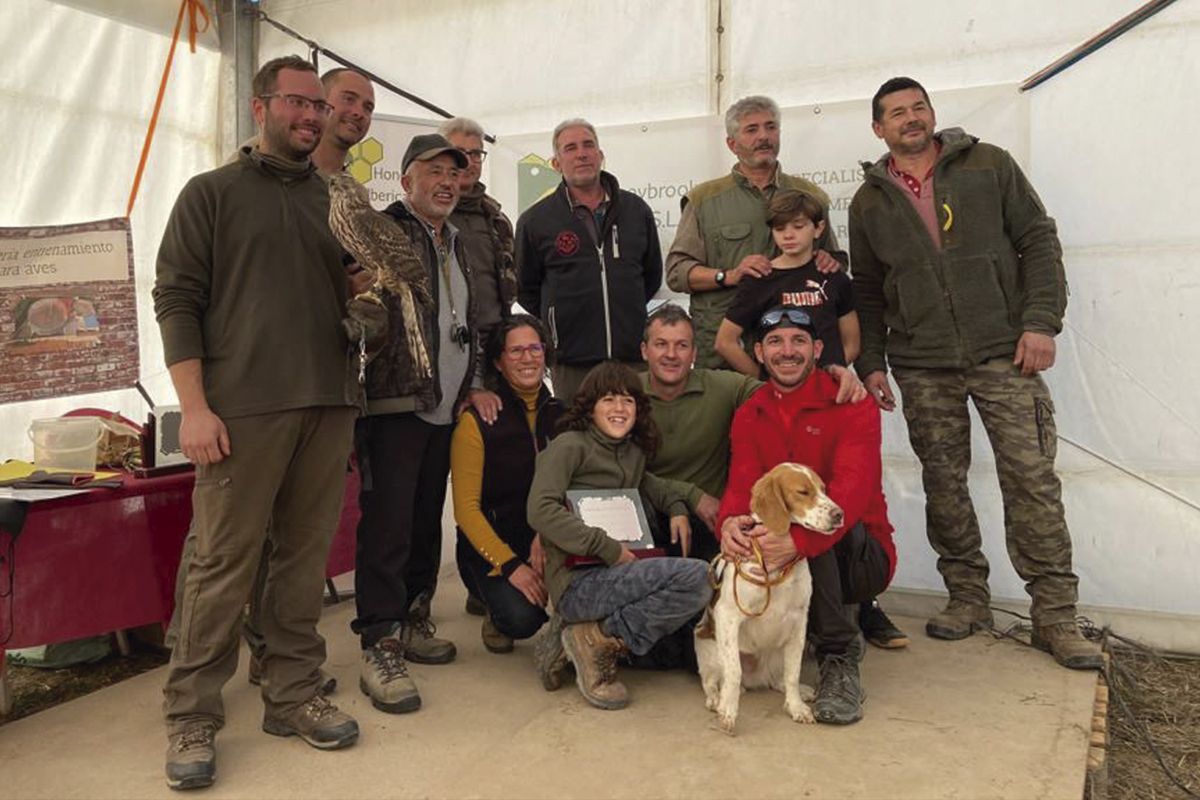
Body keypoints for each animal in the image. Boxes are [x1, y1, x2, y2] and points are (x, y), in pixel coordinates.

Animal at [700, 460, 840, 734]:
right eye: (803, 492)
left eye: (823, 488)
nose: (839, 514)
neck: (776, 568)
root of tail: (757, 677)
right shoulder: (727, 616)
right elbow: (733, 673)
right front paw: (728, 712)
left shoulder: (799, 621)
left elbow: (793, 673)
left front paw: (796, 707)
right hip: (707, 647)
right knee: (714, 680)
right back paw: (716, 699)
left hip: (778, 652)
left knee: (778, 679)